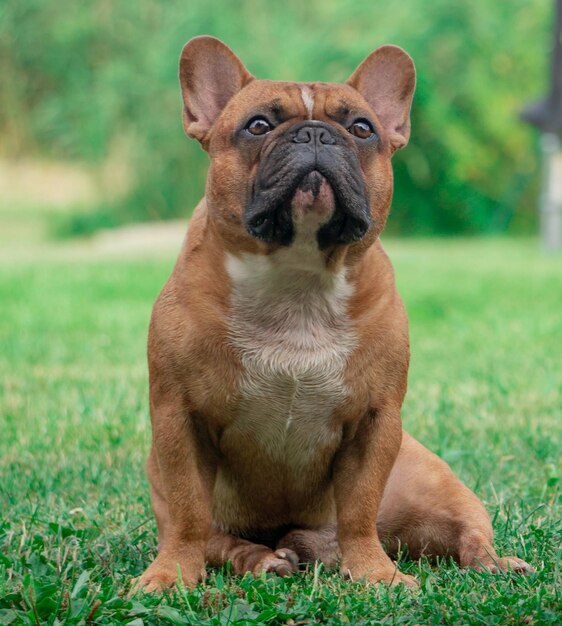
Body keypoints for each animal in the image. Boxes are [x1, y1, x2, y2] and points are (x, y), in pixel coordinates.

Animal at [136, 35, 528, 588]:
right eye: (258, 125)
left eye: (362, 128)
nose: (317, 133)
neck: (297, 280)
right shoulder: (180, 419)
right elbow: (190, 512)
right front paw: (170, 577)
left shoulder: (374, 422)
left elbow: (360, 507)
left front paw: (376, 576)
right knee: (217, 538)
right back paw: (264, 559)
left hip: (438, 489)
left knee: (466, 533)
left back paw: (494, 563)